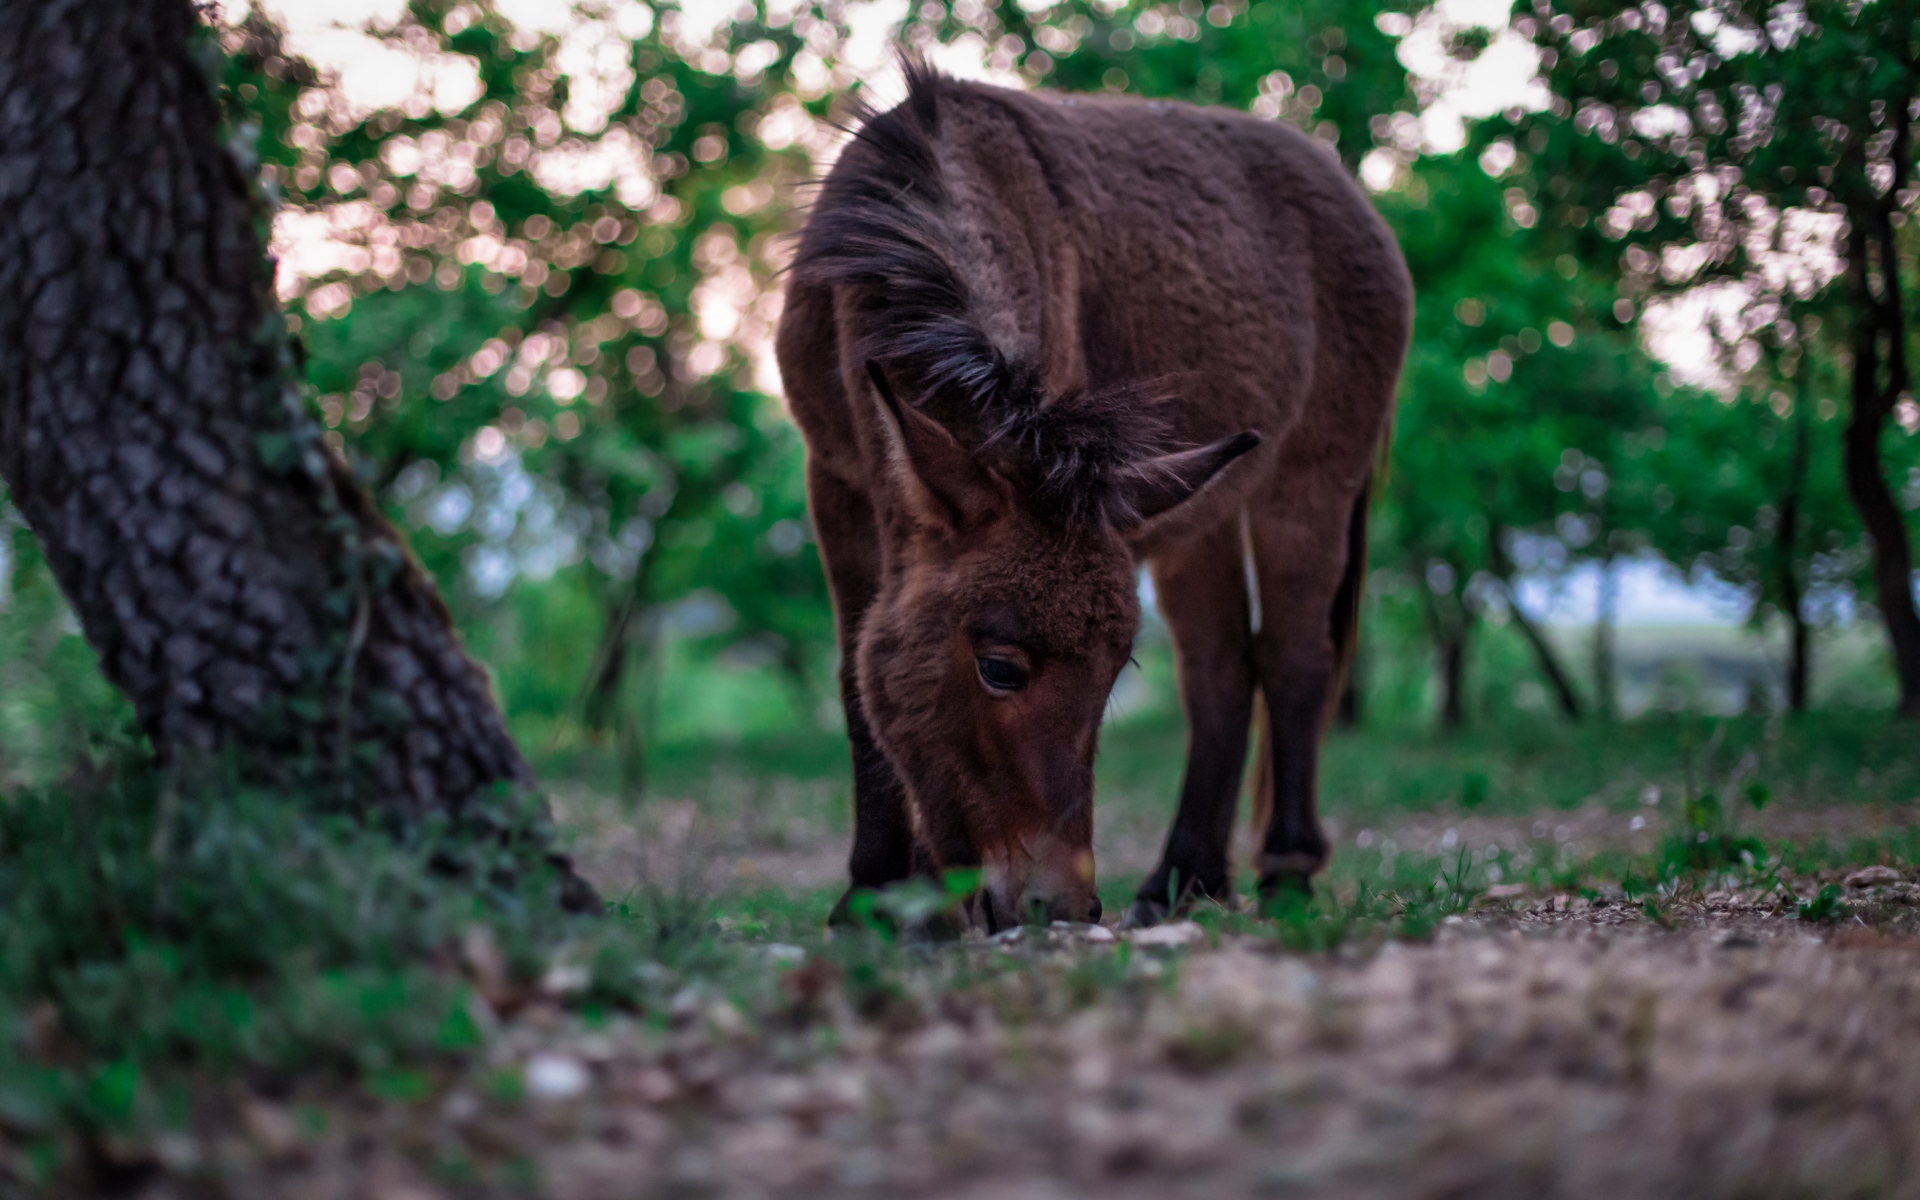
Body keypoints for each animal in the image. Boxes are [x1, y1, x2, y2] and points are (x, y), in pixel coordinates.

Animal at [775, 64, 1409, 931]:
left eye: (1114, 674)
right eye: (1001, 669)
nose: (1065, 908)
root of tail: (1348, 188)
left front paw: (908, 902)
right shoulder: (836, 482)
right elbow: (854, 676)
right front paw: (878, 896)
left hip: (1309, 480)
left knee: (1294, 659)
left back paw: (1284, 874)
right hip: (1197, 512)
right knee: (1220, 670)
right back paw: (1183, 880)